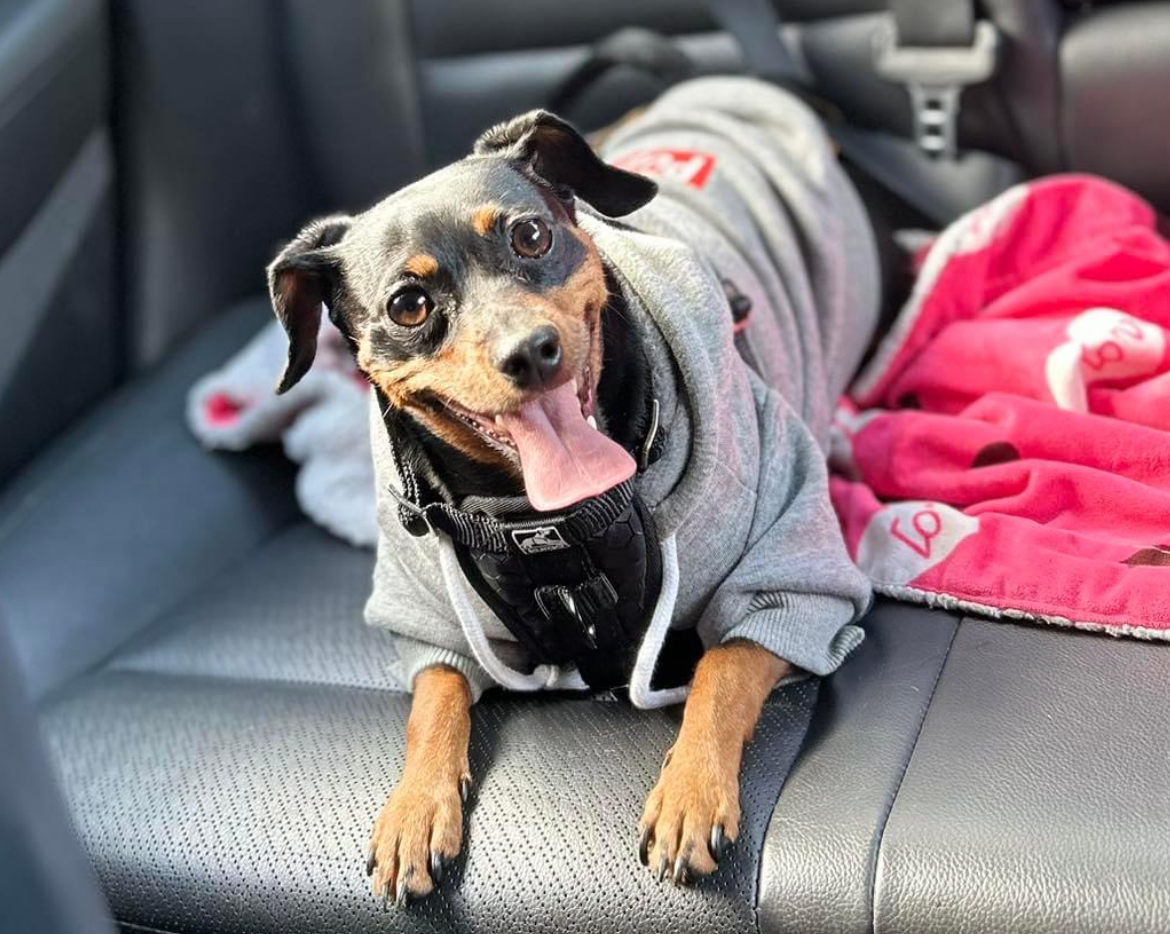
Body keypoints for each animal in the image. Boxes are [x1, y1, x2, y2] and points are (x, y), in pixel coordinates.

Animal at [267, 77, 883, 905]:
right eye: (408, 306)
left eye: (531, 237)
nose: (532, 352)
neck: (550, 521)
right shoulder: (429, 618)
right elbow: (435, 697)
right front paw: (415, 809)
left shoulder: (791, 576)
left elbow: (722, 670)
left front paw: (691, 793)